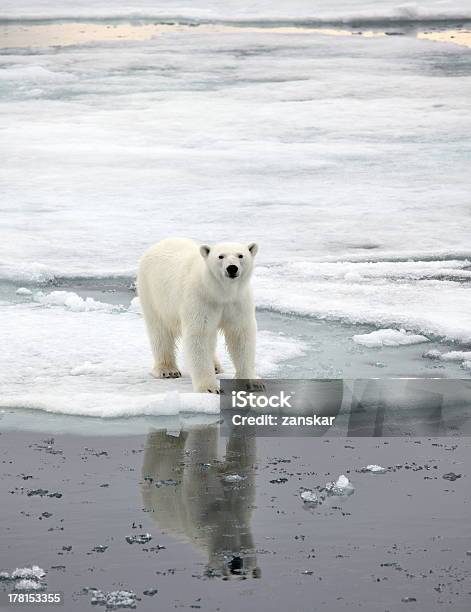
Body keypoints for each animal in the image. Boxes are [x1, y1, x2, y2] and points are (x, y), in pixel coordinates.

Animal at [138, 237, 260, 394]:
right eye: (220, 256)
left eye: (240, 255)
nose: (232, 268)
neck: (218, 292)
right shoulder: (200, 299)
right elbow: (199, 335)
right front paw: (209, 388)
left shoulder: (237, 302)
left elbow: (240, 335)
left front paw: (252, 382)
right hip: (153, 294)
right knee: (160, 331)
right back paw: (167, 370)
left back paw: (215, 366)